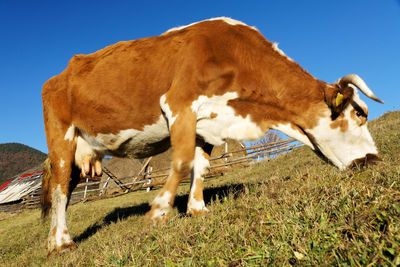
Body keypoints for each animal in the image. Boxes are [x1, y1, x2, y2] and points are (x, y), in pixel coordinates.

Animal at [40, 17, 382, 255]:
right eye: (359, 114)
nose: (375, 159)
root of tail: (58, 76)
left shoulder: (209, 124)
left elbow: (200, 166)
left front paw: (197, 209)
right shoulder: (178, 104)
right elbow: (180, 162)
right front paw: (159, 211)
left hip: (83, 149)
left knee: (65, 191)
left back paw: (58, 240)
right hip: (61, 139)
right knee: (59, 188)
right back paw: (61, 243)